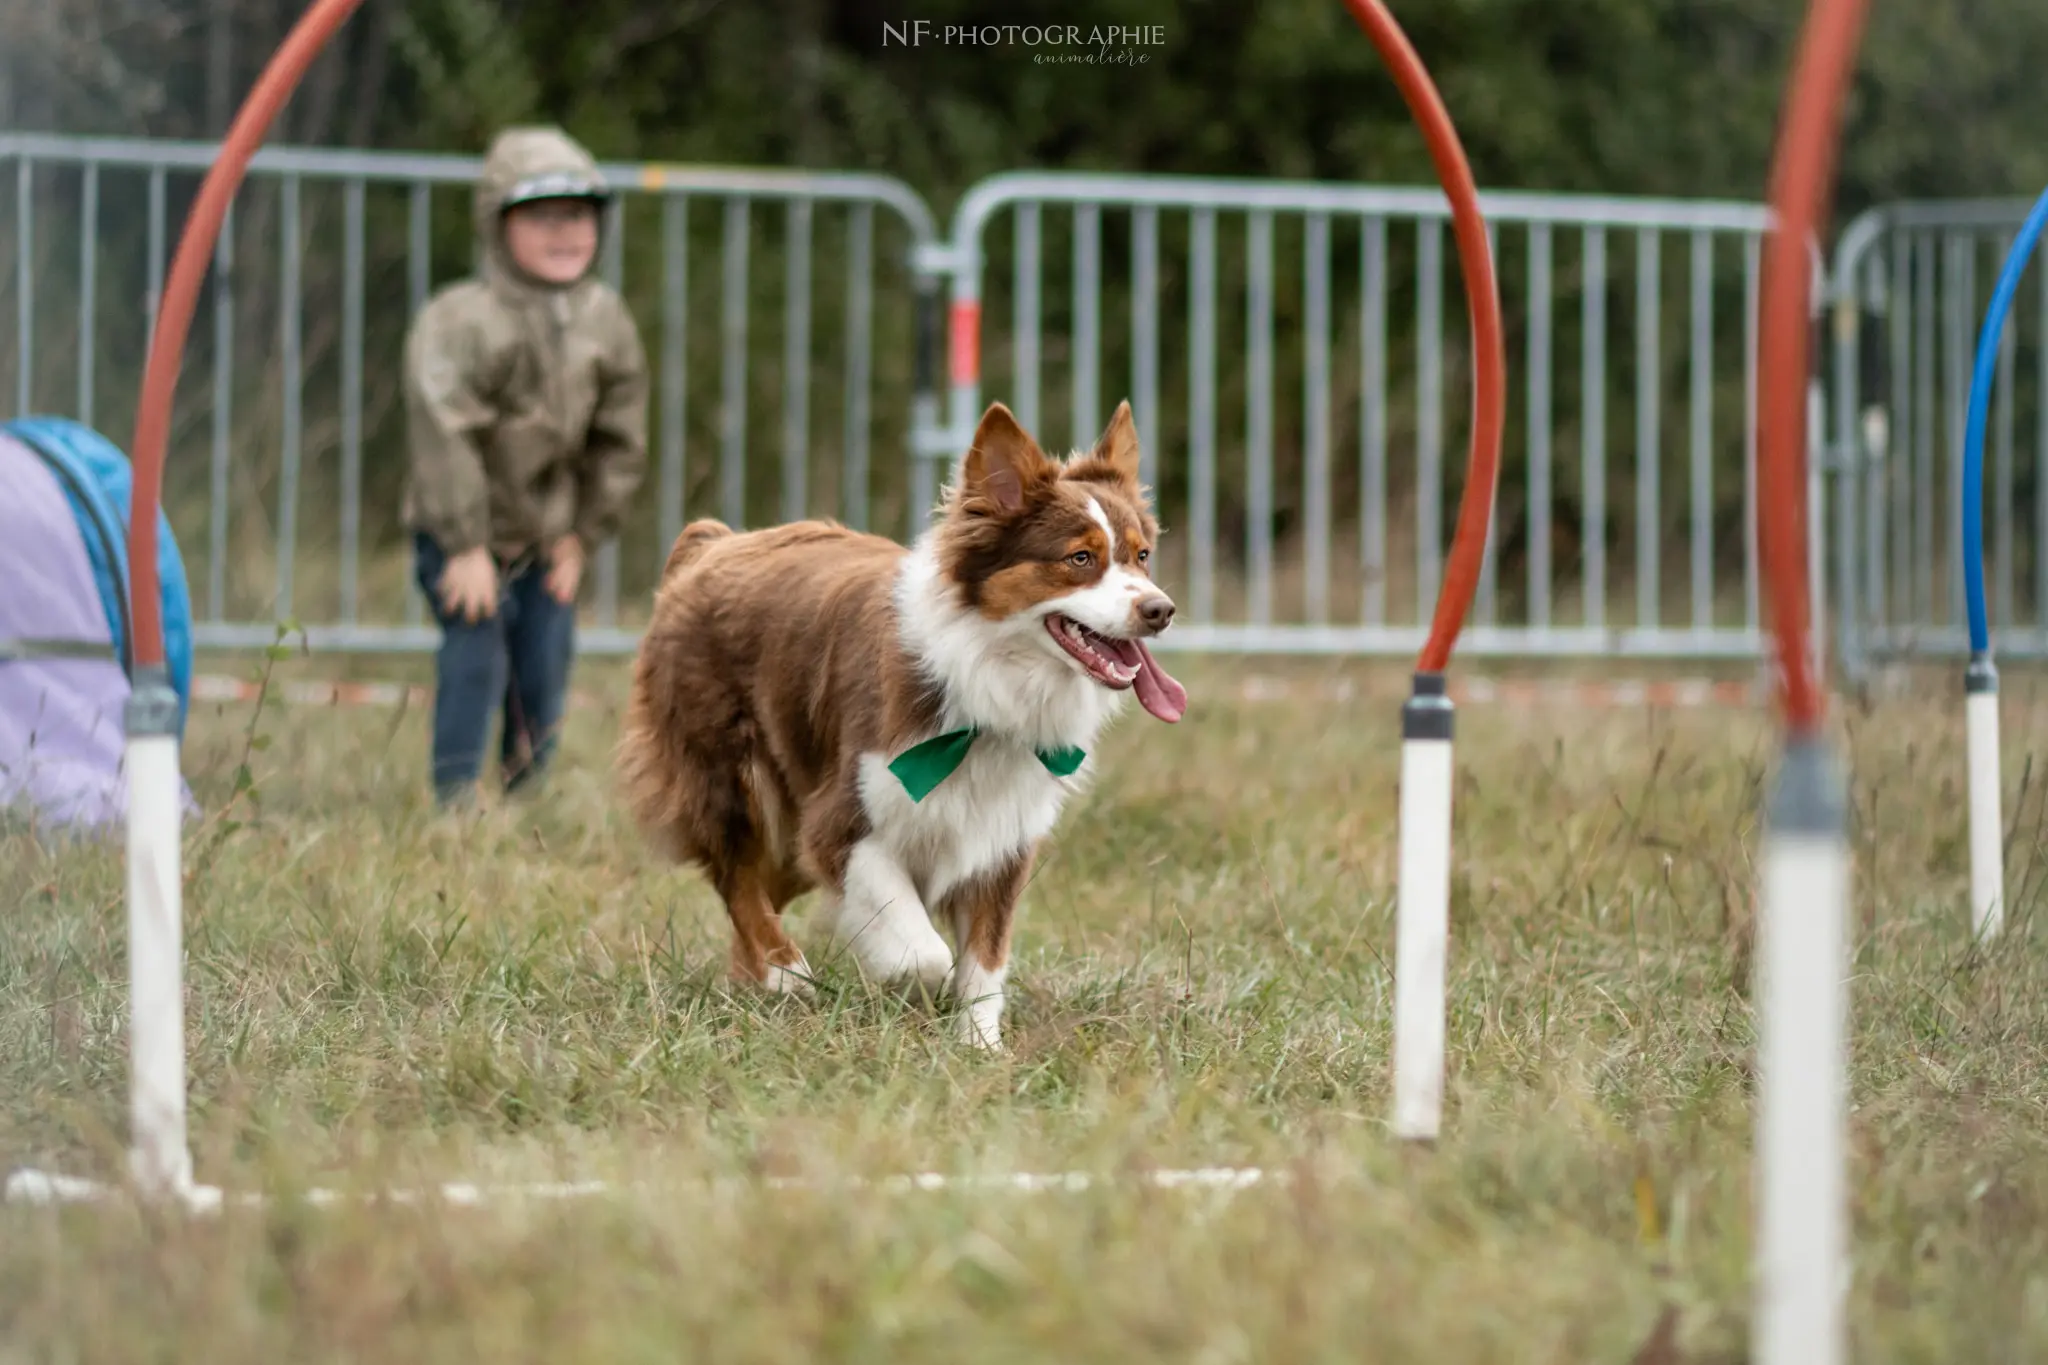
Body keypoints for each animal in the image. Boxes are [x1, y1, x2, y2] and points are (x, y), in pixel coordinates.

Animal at [618, 401, 1187, 1055]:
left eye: (1141, 556)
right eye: (1080, 559)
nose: (1160, 610)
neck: (985, 681)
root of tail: (713, 543)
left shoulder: (1002, 838)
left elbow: (985, 961)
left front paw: (979, 1049)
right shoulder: (844, 822)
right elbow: (925, 954)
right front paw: (907, 993)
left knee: (761, 885)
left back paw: (755, 984)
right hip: (731, 776)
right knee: (738, 877)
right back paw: (785, 974)